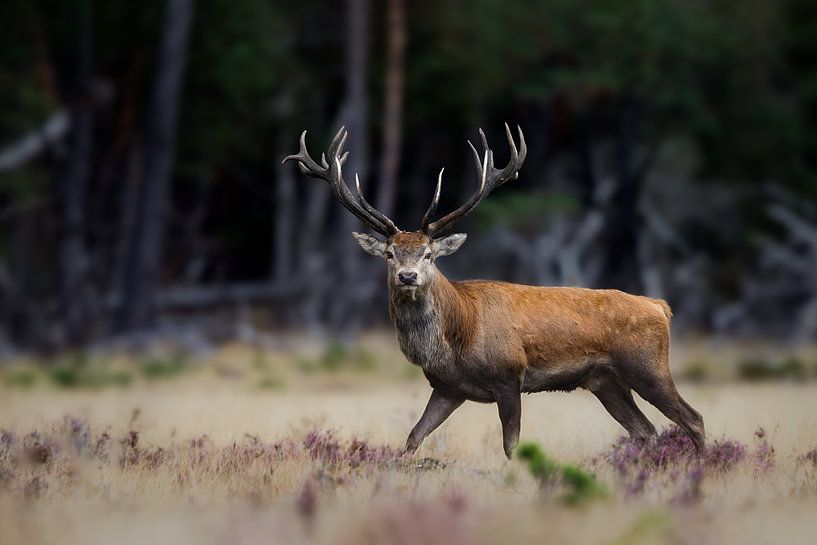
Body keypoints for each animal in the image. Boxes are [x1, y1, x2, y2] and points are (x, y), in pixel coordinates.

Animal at [283, 124, 705, 459]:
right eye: (389, 253)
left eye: (429, 253)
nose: (407, 276)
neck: (459, 335)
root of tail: (661, 306)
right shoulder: (447, 388)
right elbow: (413, 438)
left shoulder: (509, 375)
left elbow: (511, 445)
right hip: (605, 381)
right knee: (645, 430)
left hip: (647, 366)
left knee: (693, 418)